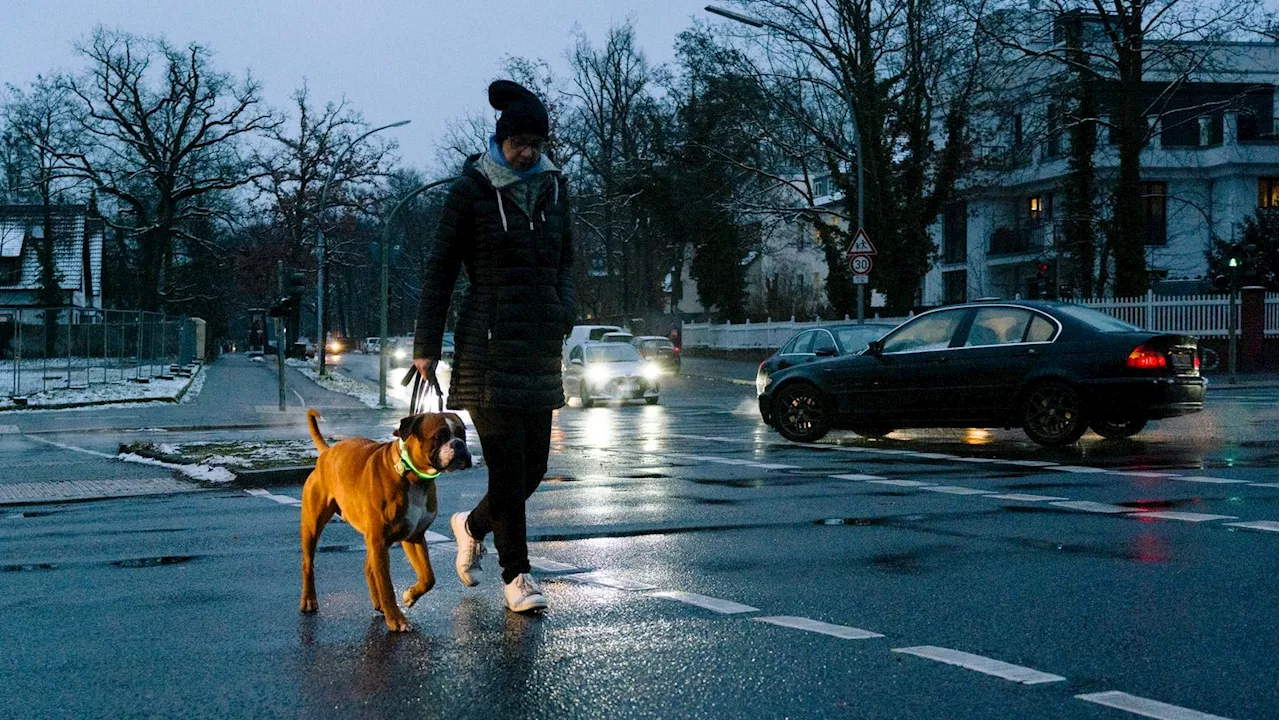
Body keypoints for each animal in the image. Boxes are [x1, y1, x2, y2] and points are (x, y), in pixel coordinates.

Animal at [298, 407, 471, 630]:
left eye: (462, 433)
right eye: (439, 436)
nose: (458, 444)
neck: (413, 477)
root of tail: (327, 452)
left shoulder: (414, 537)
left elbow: (428, 577)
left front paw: (409, 596)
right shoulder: (380, 541)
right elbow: (387, 585)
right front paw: (397, 619)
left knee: (369, 568)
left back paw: (378, 602)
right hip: (313, 527)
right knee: (308, 563)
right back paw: (309, 600)